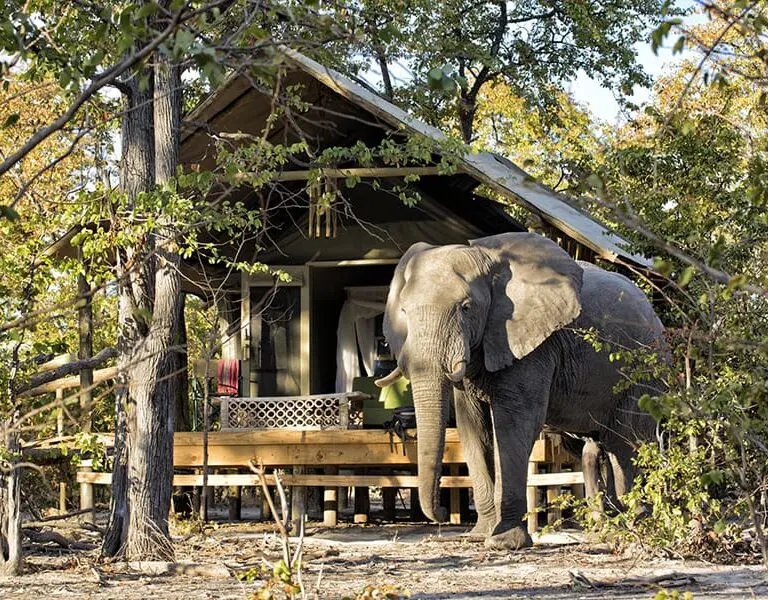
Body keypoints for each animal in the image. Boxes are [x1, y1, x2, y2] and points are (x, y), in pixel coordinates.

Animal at [374, 232, 665, 550]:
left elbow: (514, 423)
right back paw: (611, 527)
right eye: (404, 312)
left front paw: (504, 542)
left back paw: (636, 525)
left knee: (625, 442)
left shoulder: (533, 345)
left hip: (644, 372)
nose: (439, 512)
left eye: (466, 307)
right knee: (601, 444)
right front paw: (480, 535)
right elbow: (472, 426)